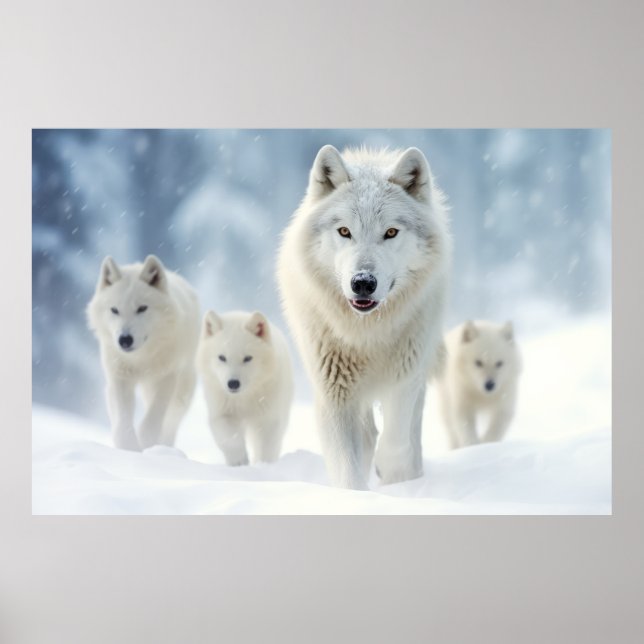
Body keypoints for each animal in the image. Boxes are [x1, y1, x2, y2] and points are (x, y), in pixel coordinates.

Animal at [87, 255, 200, 450]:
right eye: (114, 310)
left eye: (142, 308)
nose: (125, 340)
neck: (141, 358)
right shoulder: (120, 377)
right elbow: (123, 419)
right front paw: (129, 447)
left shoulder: (167, 377)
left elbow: (153, 418)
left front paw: (146, 442)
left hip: (182, 392)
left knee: (170, 423)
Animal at [197, 310, 294, 465]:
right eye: (222, 357)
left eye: (248, 358)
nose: (233, 383)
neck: (244, 399)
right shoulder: (222, 414)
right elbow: (232, 442)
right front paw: (240, 463)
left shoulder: (269, 418)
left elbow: (266, 448)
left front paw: (263, 465)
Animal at [277, 145, 451, 489]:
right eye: (345, 231)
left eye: (391, 232)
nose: (362, 282)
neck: (366, 333)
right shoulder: (333, 392)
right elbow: (348, 469)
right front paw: (358, 494)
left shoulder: (405, 376)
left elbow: (397, 439)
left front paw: (393, 471)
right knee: (368, 434)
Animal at [436, 320, 521, 448]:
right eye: (478, 362)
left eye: (499, 363)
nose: (489, 385)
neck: (482, 396)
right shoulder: (462, 401)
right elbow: (466, 426)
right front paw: (473, 445)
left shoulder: (506, 401)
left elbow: (497, 427)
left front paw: (485, 444)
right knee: (451, 430)